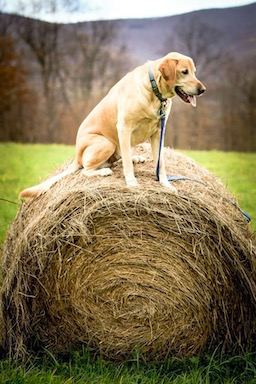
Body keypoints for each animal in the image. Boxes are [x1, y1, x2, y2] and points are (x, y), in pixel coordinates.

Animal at [19, 51, 205, 200]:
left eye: (194, 72)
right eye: (184, 72)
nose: (203, 89)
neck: (154, 91)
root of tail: (77, 155)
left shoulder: (159, 132)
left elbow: (161, 163)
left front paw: (166, 184)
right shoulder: (124, 128)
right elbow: (127, 165)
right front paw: (132, 182)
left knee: (117, 158)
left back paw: (134, 158)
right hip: (105, 142)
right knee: (87, 169)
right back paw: (103, 171)